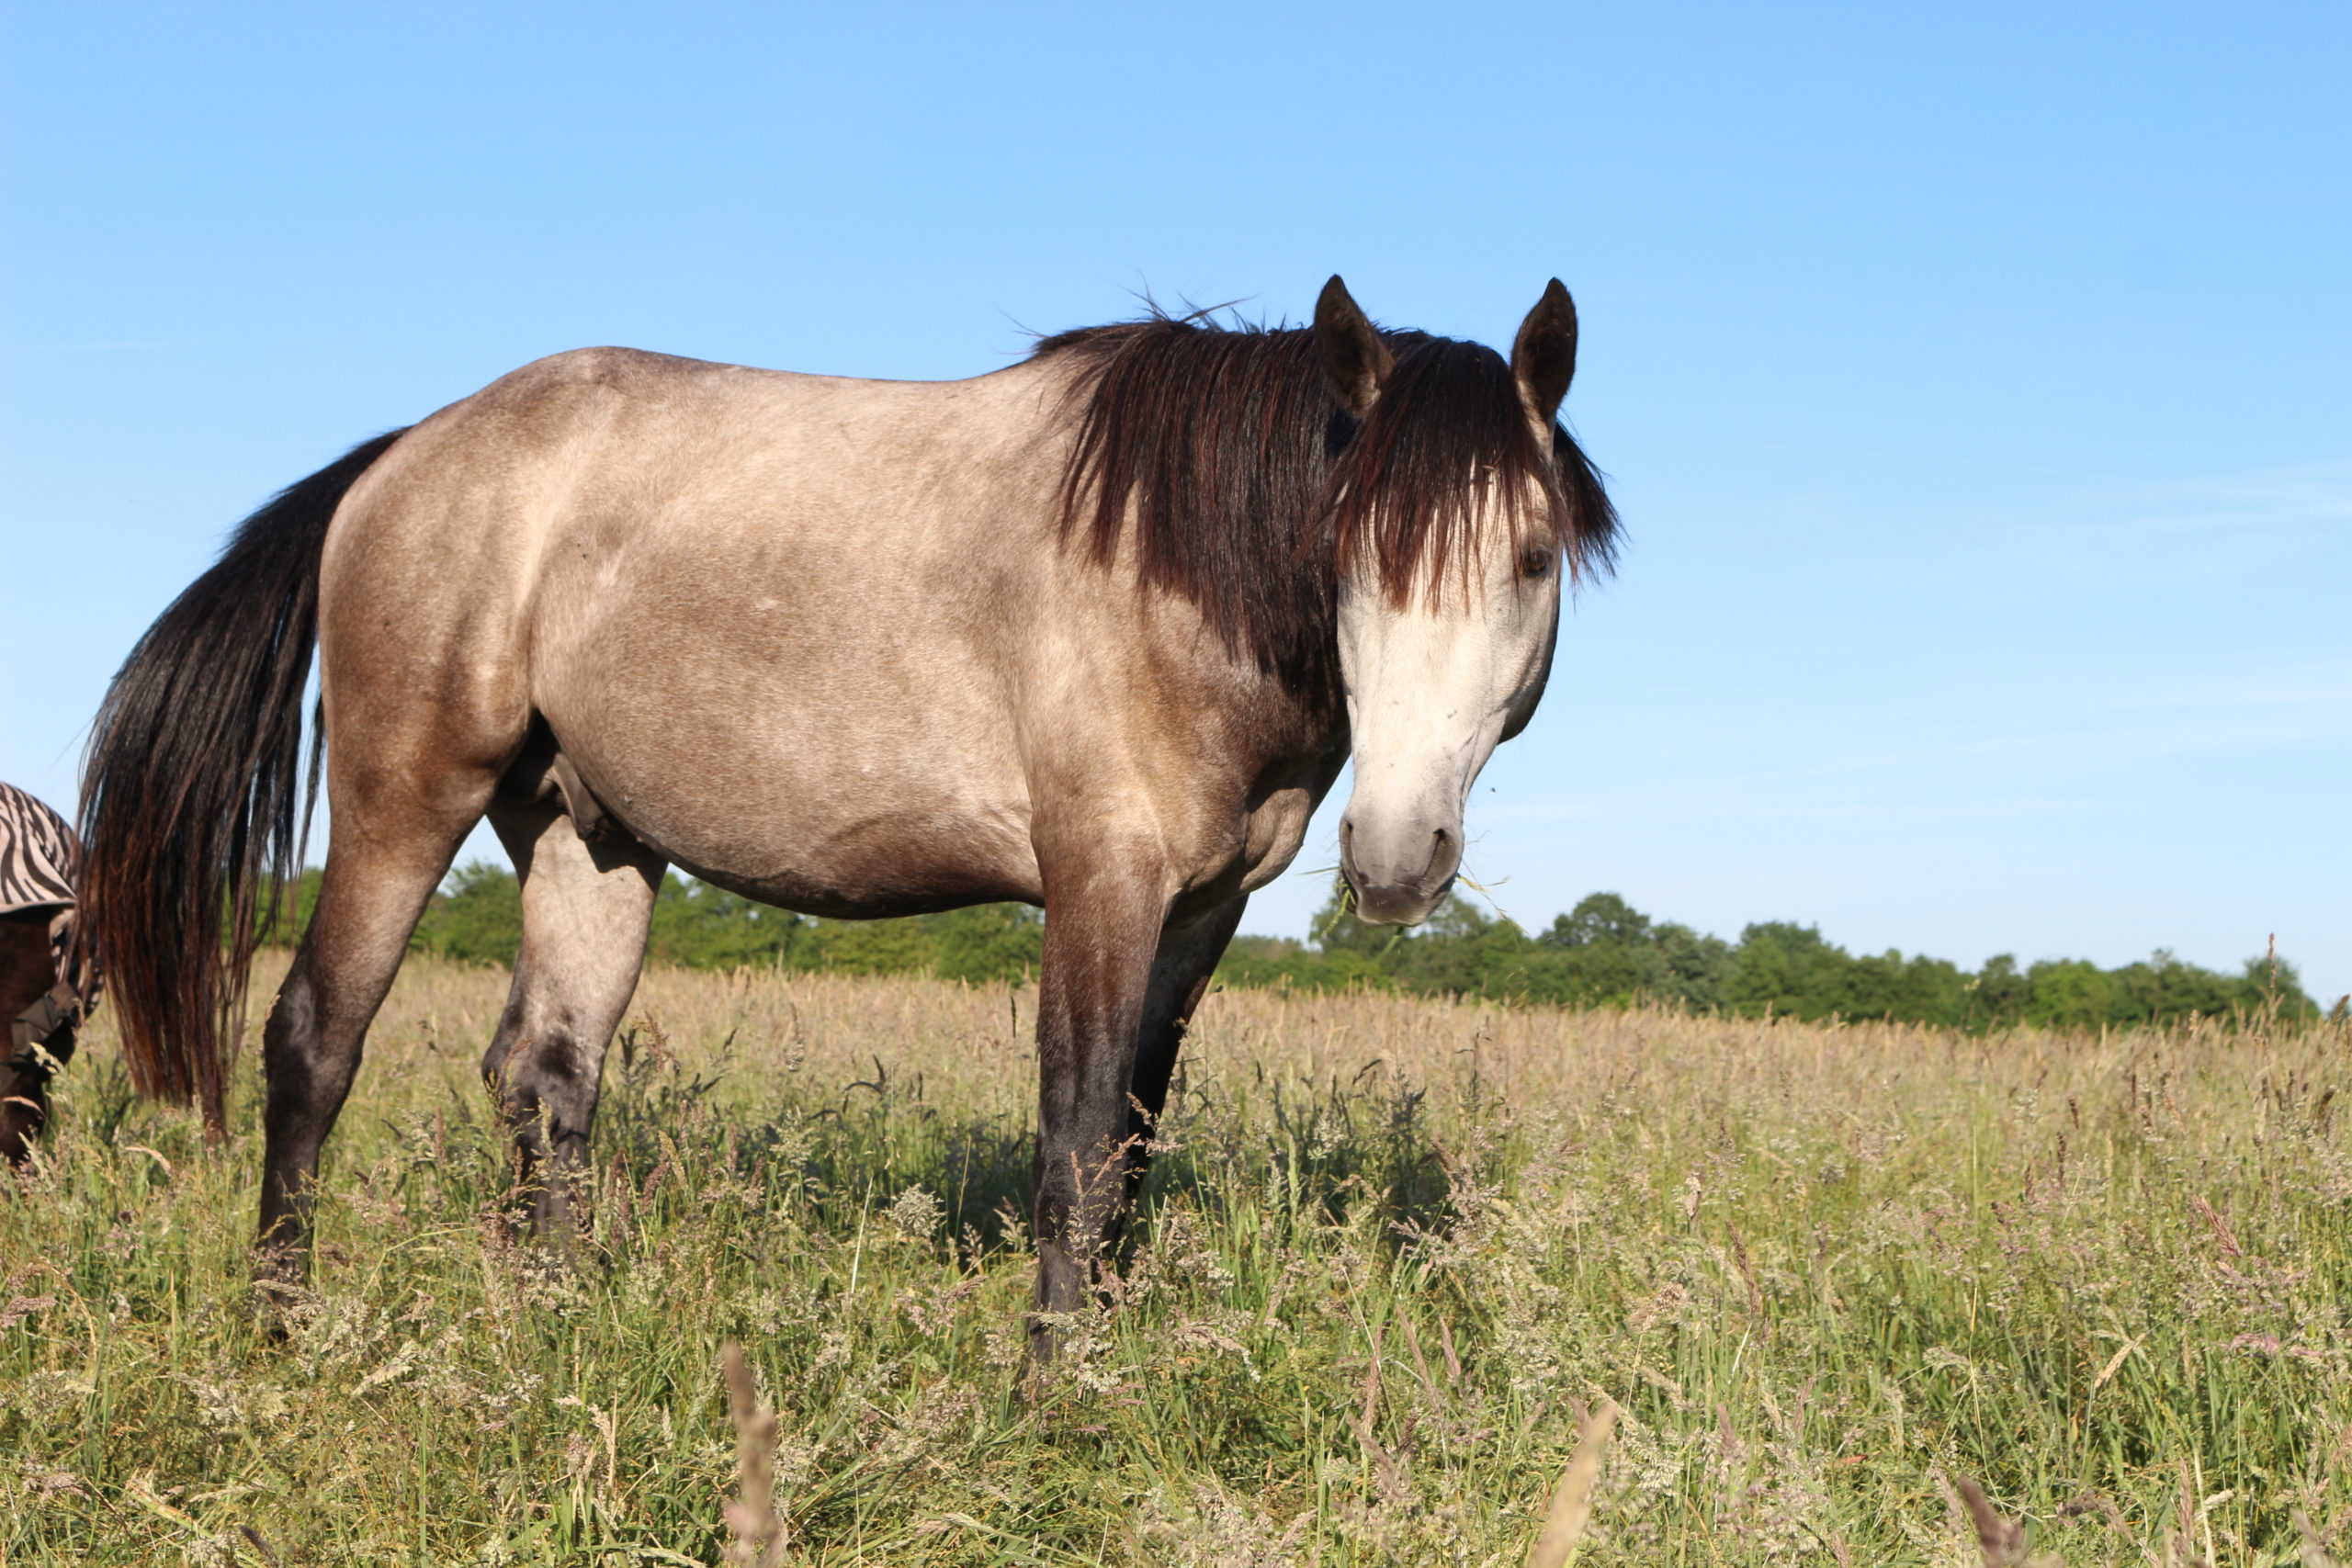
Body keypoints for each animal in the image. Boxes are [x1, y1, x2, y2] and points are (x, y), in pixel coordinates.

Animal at [74, 272, 1618, 1354]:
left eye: (1533, 556)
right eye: (1345, 553)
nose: (1398, 857)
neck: (1173, 566)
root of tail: (407, 455)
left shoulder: (1201, 908)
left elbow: (1131, 1138)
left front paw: (1110, 1359)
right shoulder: (1099, 883)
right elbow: (1072, 1144)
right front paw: (1053, 1394)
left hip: (587, 835)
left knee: (545, 1074)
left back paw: (551, 1329)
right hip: (408, 799)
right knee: (314, 1041)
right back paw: (283, 1327)